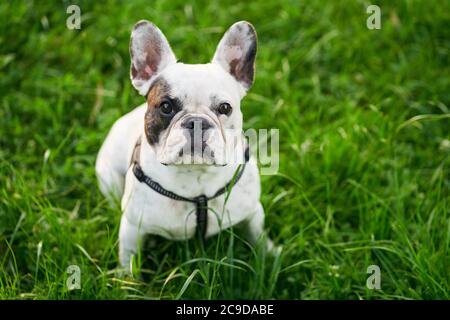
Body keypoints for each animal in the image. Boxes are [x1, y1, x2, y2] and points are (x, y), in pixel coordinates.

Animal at [95, 21, 270, 268]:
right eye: (166, 106)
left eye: (225, 108)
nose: (197, 121)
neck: (195, 177)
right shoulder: (132, 227)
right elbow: (129, 258)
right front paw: (125, 277)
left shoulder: (253, 211)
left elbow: (257, 236)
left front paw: (269, 256)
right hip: (108, 179)